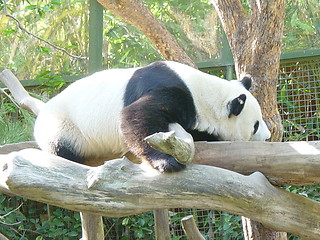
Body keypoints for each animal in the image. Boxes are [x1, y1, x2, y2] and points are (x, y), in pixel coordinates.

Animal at [34, 61, 270, 172]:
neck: (204, 92)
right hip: (63, 126)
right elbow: (137, 116)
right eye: (255, 125)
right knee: (61, 147)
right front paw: (167, 162)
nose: (268, 137)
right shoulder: (170, 90)